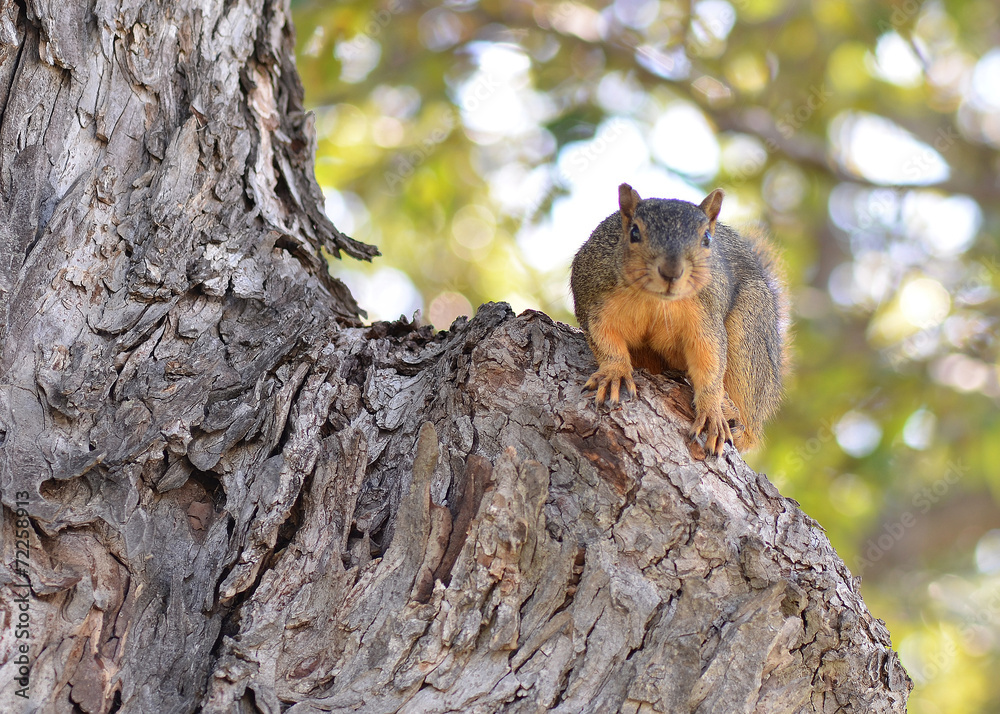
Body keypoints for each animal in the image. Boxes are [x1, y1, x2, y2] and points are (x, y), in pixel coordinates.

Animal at [570, 183, 787, 455]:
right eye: (634, 232)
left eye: (706, 239)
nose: (671, 272)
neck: (656, 300)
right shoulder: (595, 299)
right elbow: (603, 339)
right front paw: (614, 372)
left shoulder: (706, 316)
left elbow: (710, 361)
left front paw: (711, 409)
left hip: (750, 331)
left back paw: (737, 422)